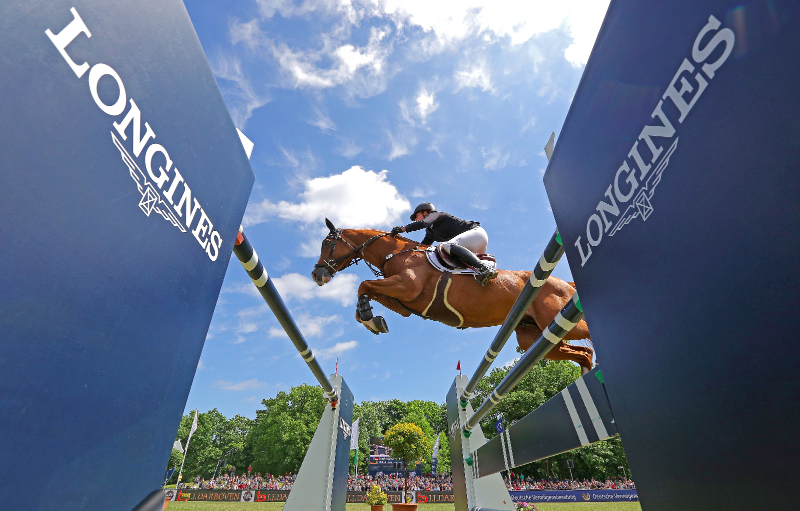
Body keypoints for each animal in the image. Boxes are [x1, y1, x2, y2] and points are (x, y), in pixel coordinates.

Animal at [312, 218, 592, 374]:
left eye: (327, 243)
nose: (317, 274)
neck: (395, 254)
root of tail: (564, 283)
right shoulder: (403, 302)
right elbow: (367, 289)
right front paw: (372, 319)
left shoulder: (406, 286)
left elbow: (362, 284)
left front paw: (369, 317)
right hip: (535, 337)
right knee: (583, 353)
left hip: (564, 322)